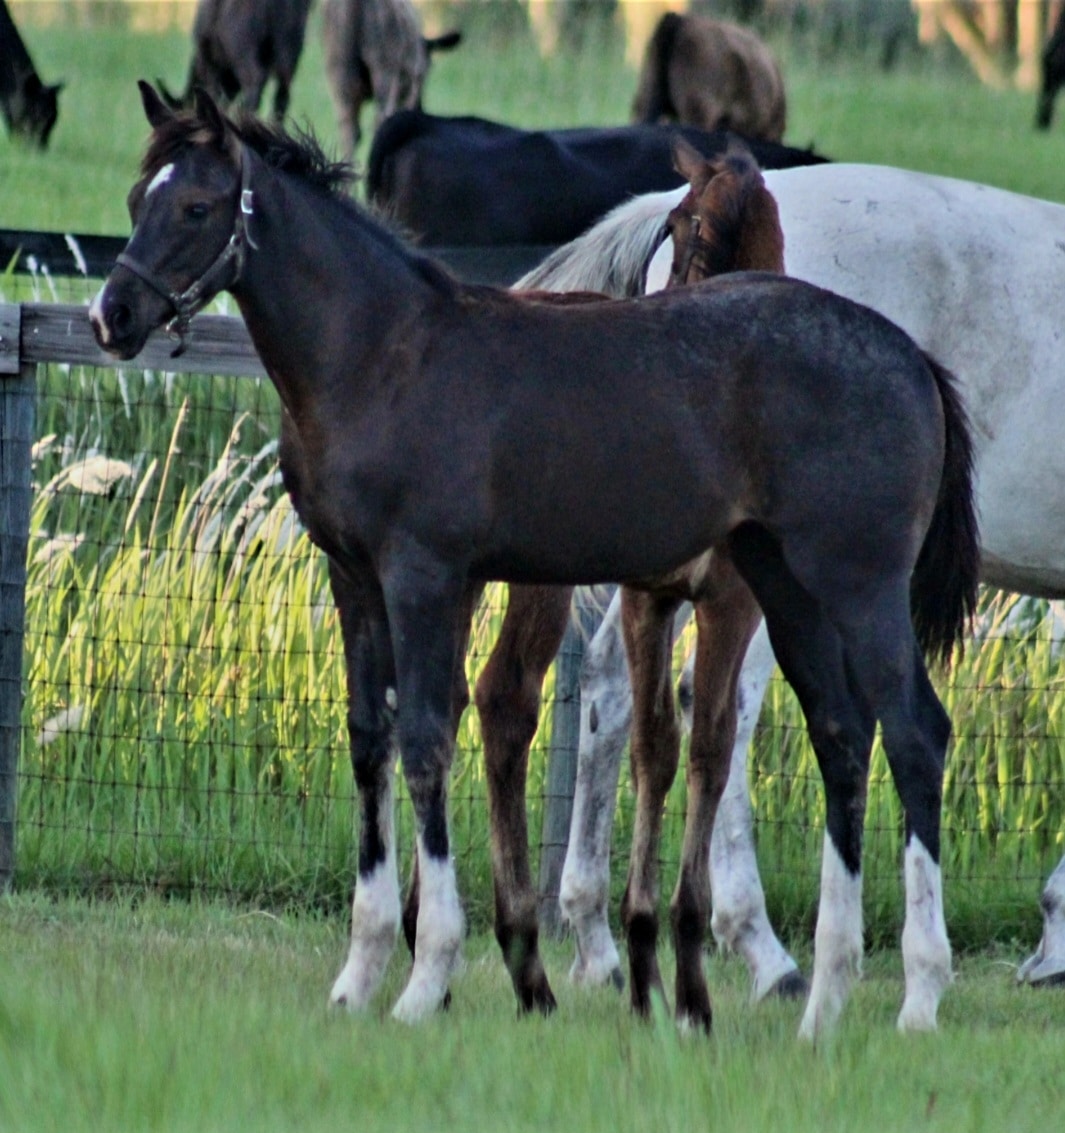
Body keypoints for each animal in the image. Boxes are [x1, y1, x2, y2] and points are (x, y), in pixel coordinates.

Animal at [87, 83, 978, 1033]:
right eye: (137, 200)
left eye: (196, 206)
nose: (113, 317)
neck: (383, 358)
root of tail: (912, 360)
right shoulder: (354, 577)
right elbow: (370, 739)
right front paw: (359, 974)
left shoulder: (426, 576)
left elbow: (426, 738)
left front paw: (425, 978)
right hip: (784, 585)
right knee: (841, 733)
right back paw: (822, 1005)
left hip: (857, 583)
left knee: (914, 731)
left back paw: (919, 993)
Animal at [157, 0, 312, 122]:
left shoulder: (209, 62)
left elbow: (213, 93)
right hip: (289, 53)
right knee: (282, 95)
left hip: (243, 49)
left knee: (255, 82)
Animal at [321, 0, 459, 162]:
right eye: (428, 69)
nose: (421, 107)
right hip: (385, 69)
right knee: (380, 119)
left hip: (339, 71)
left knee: (348, 128)